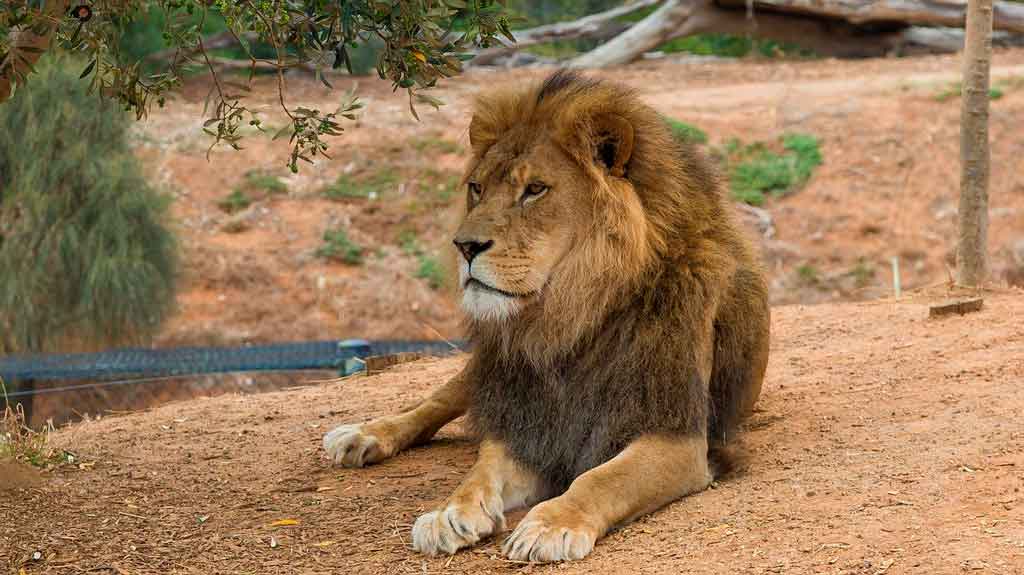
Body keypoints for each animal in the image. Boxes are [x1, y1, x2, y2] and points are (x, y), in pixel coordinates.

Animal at [325, 68, 770, 560]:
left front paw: (552, 523)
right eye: (477, 188)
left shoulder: (677, 435)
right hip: (487, 371)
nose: (464, 246)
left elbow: (601, 478)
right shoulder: (526, 421)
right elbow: (481, 469)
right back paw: (361, 436)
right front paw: (450, 513)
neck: (568, 318)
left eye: (534, 190)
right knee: (435, 402)